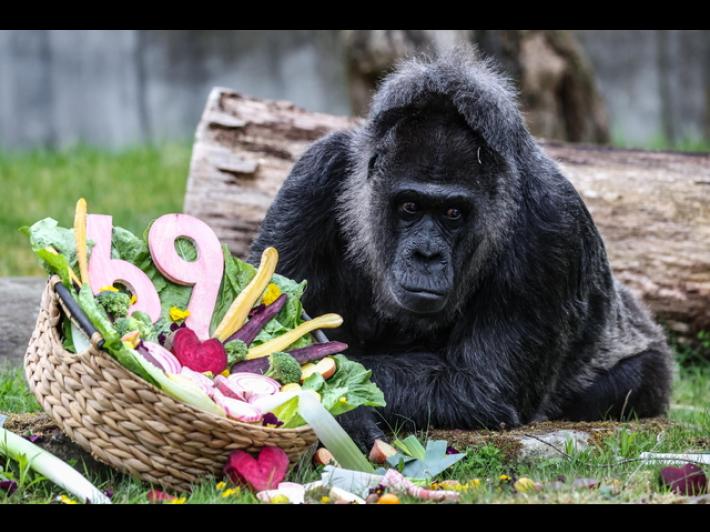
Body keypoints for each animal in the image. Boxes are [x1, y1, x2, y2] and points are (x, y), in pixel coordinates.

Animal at [248, 49, 674, 450]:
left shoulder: (553, 224)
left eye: (453, 213)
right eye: (409, 207)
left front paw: (340, 407)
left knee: (632, 381)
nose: (426, 255)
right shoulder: (313, 176)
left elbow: (479, 386)